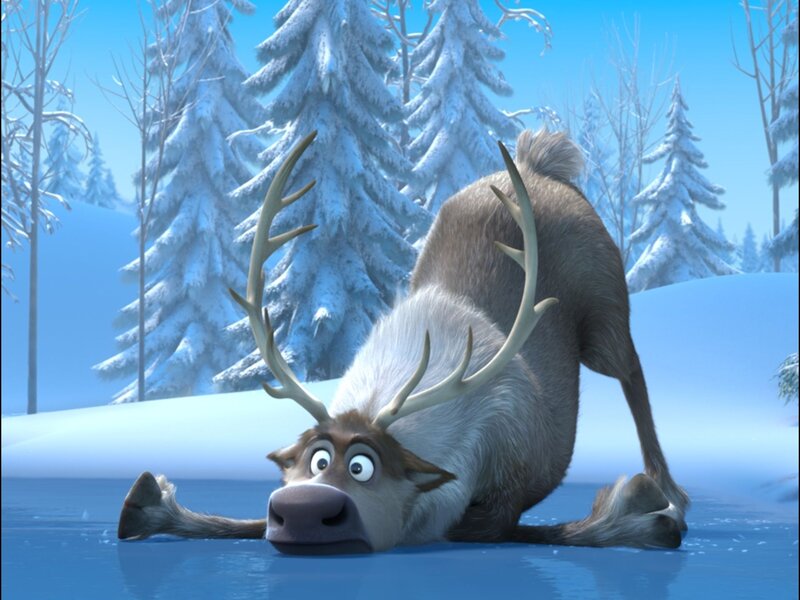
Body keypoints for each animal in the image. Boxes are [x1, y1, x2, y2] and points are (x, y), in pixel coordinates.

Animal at [117, 129, 689, 555]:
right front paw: (148, 504)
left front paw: (648, 512)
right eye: (316, 460)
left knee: (633, 372)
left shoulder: (502, 498)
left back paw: (673, 493)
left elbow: (527, 529)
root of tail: (538, 162)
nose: (303, 510)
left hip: (605, 313)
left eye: (362, 465)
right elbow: (246, 524)